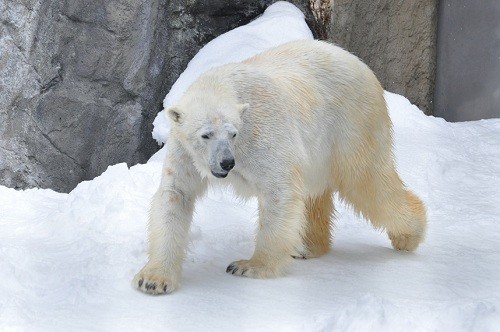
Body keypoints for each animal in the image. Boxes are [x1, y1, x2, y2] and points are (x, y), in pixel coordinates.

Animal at [132, 39, 426, 296]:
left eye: (233, 133)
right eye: (206, 135)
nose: (227, 162)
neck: (224, 84)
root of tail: (361, 64)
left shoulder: (261, 132)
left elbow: (279, 190)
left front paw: (249, 266)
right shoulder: (185, 152)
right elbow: (176, 195)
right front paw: (153, 280)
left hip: (352, 123)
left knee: (366, 180)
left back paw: (408, 235)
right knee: (316, 192)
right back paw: (307, 247)